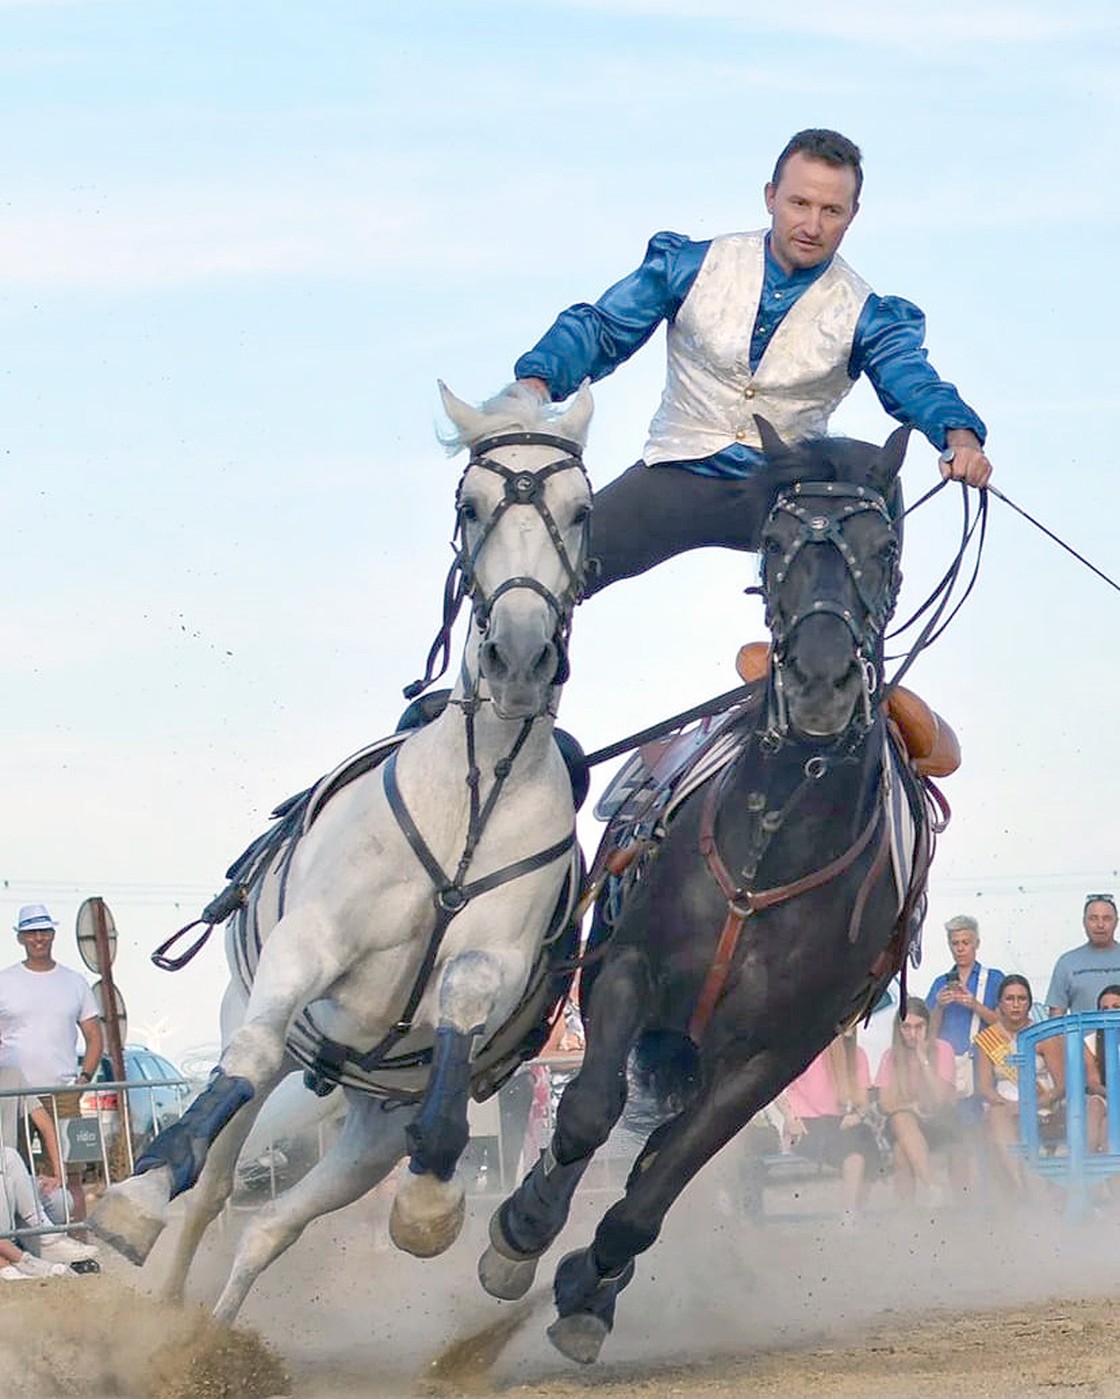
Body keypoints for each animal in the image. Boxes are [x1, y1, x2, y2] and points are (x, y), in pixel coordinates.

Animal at [91, 383, 592, 1320]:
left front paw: (430, 1199)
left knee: (268, 1225)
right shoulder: (308, 946)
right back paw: (168, 1294)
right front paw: (132, 1198)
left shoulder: (494, 959)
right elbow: (246, 1064)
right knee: (216, 1185)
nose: (517, 657)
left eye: (581, 510)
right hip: (266, 1031)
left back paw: (211, 1336)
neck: (471, 791)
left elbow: (462, 1000)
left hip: (368, 1128)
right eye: (470, 506)